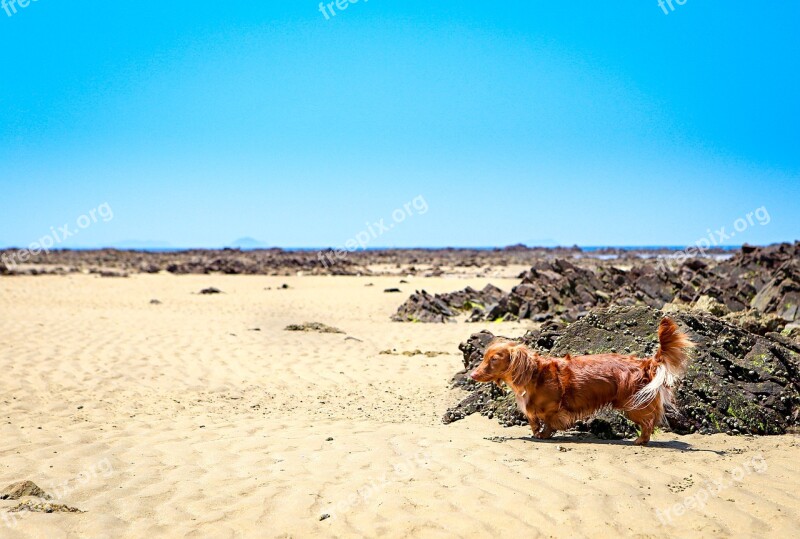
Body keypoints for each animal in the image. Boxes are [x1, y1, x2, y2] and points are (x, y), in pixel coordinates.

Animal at [472, 318, 692, 446]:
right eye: (484, 358)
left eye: (494, 359)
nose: (472, 375)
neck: (533, 375)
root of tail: (645, 363)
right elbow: (533, 419)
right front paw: (536, 432)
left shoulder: (553, 407)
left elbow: (549, 421)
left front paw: (544, 434)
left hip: (632, 404)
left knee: (649, 422)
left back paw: (640, 440)